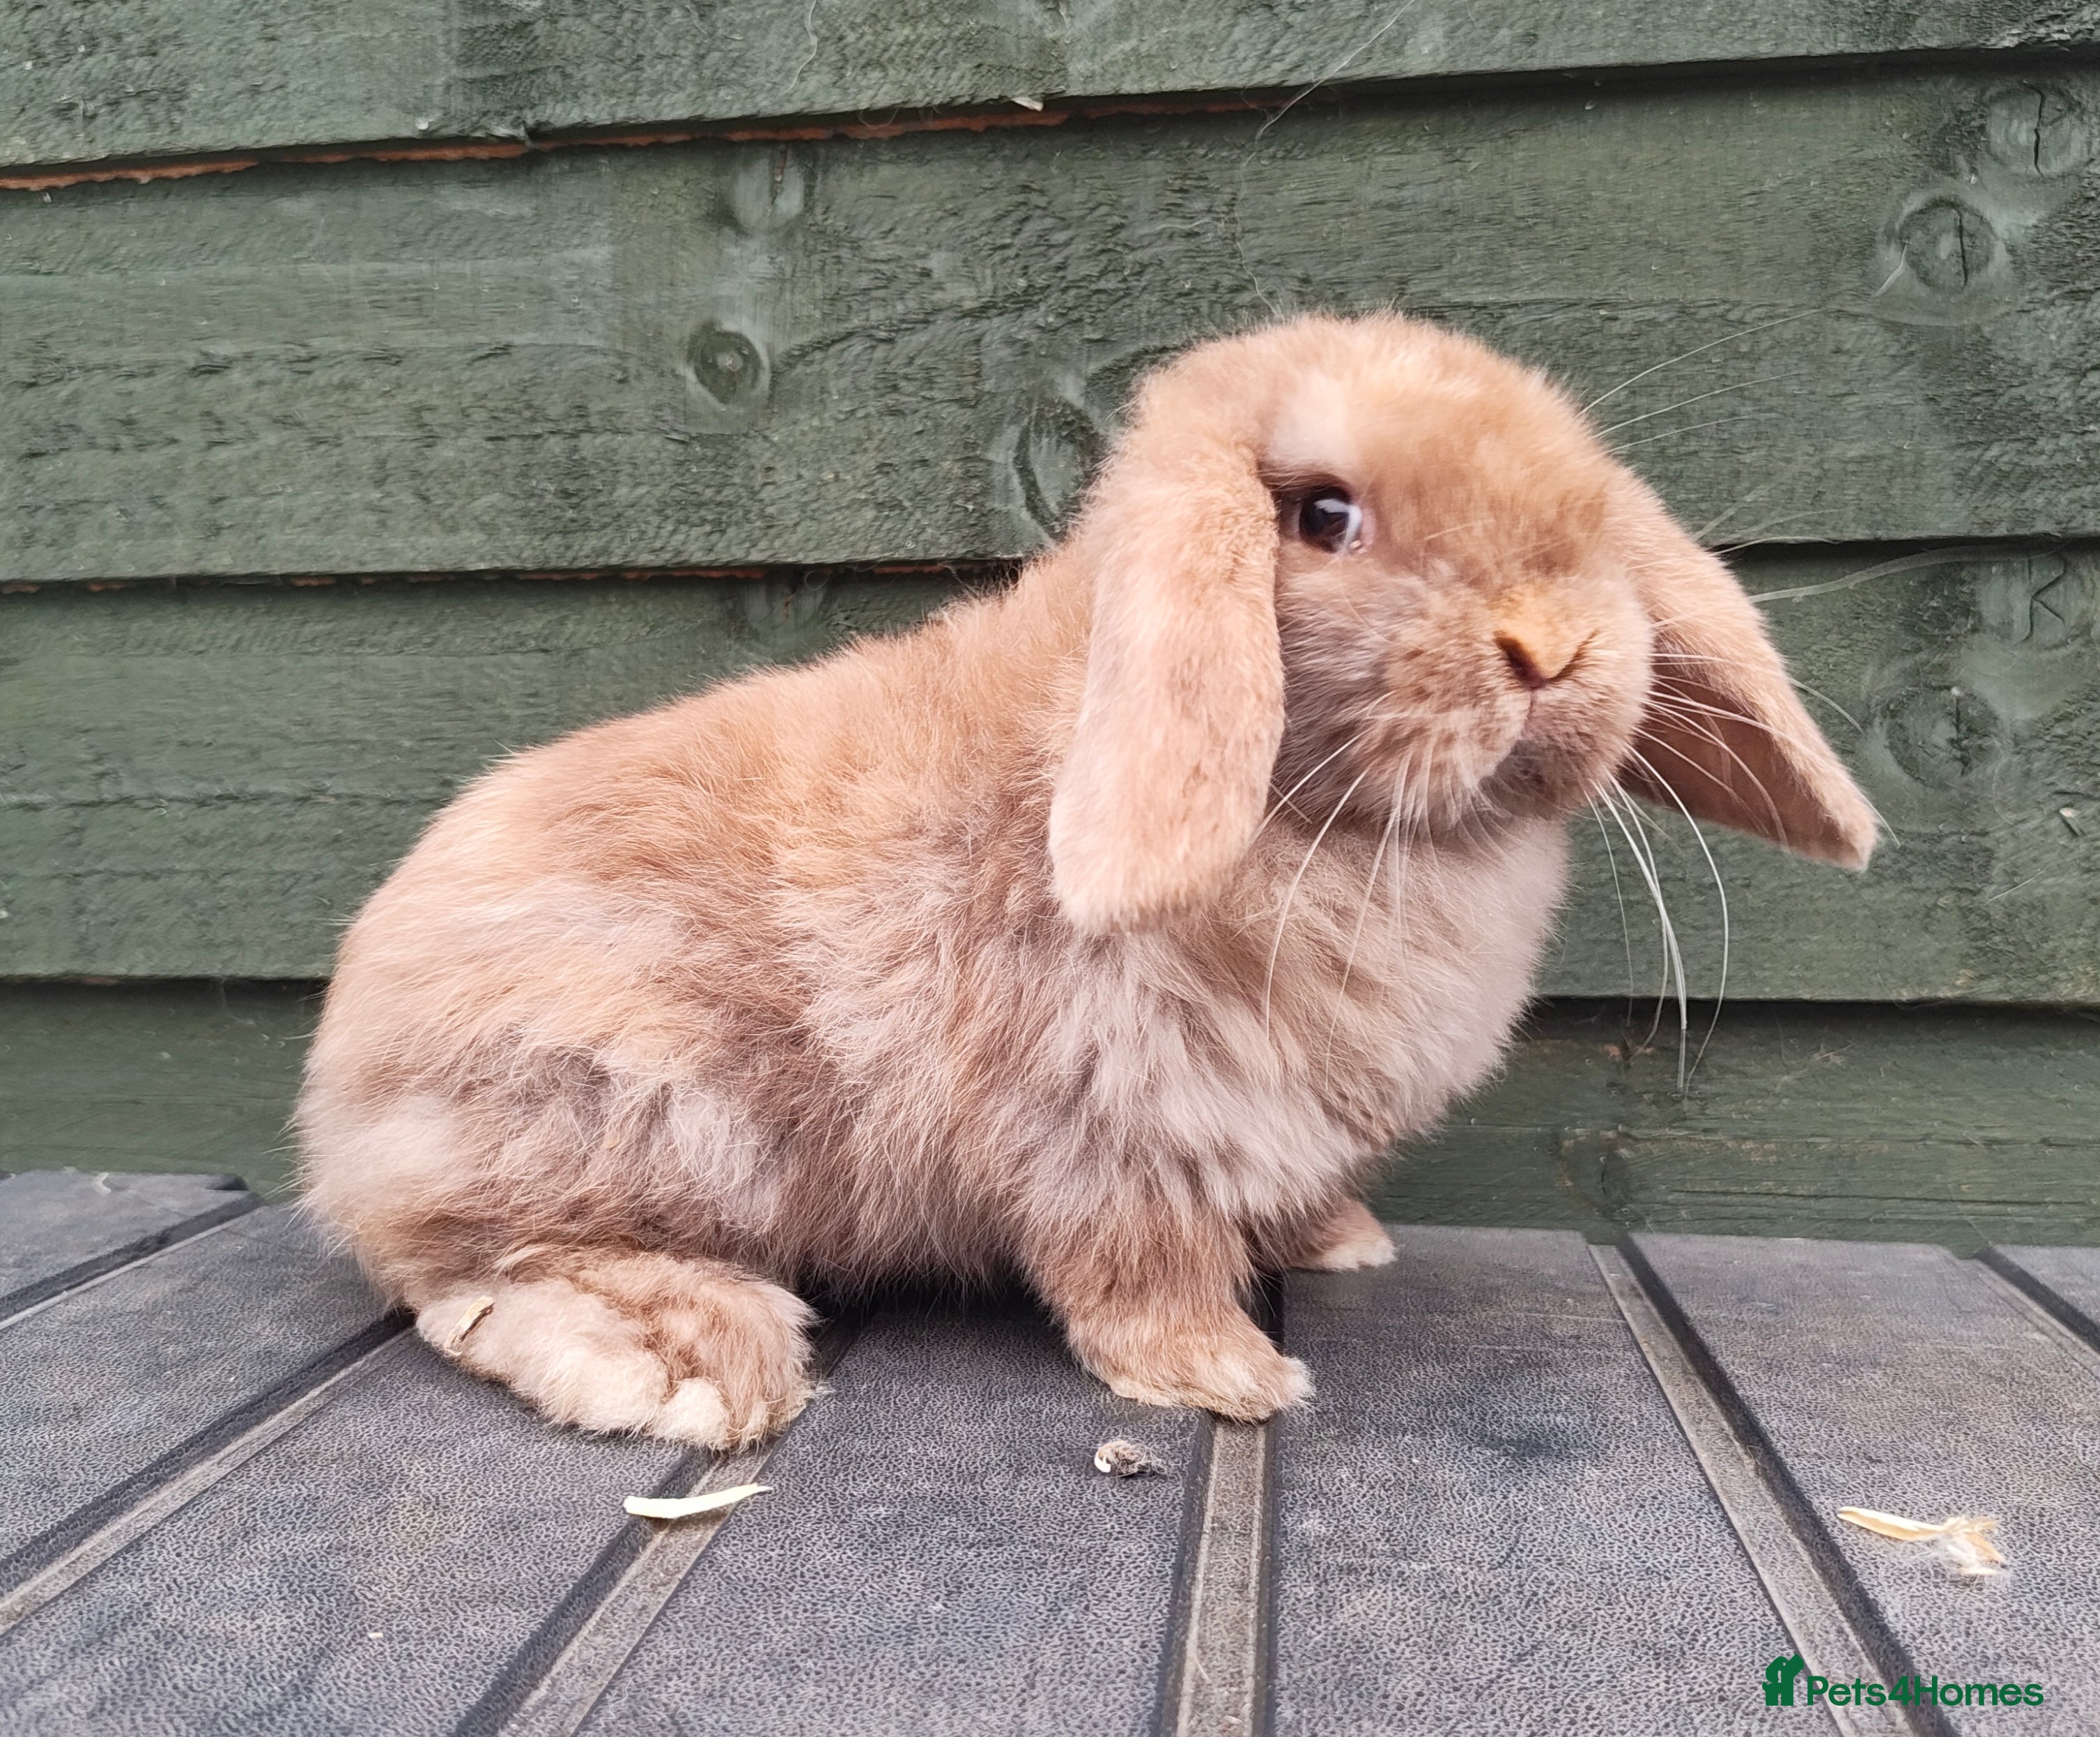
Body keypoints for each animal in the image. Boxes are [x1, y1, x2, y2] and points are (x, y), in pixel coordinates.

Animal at [298, 311, 1875, 1448]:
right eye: (1322, 516)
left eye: (1589, 514)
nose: (1552, 645)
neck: (1328, 823)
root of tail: (338, 1093)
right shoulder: (1107, 1117)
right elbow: (1135, 1265)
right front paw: (1228, 1377)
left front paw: (1341, 1242)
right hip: (625, 1113)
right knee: (457, 1274)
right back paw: (693, 1360)